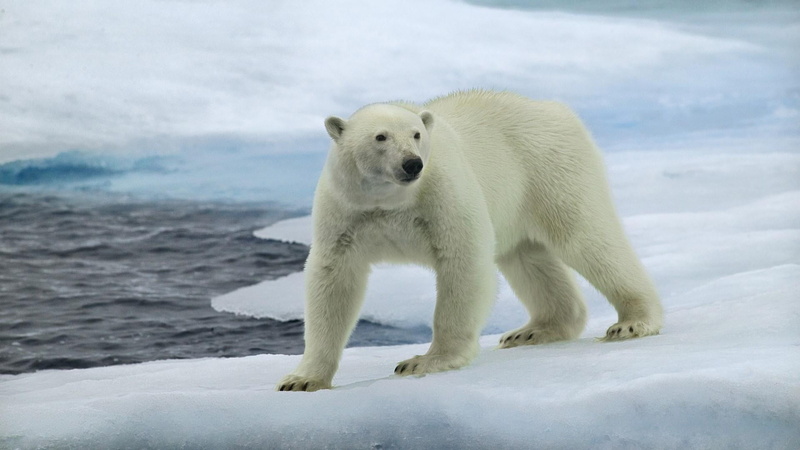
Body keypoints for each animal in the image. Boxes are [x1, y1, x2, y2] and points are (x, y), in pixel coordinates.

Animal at [277, 90, 662, 392]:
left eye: (416, 135)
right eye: (380, 137)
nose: (412, 164)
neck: (390, 202)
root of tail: (554, 108)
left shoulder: (442, 192)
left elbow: (463, 260)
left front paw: (424, 361)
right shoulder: (347, 212)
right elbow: (334, 280)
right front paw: (301, 380)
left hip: (550, 169)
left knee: (586, 237)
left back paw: (632, 322)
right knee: (527, 258)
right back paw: (532, 331)